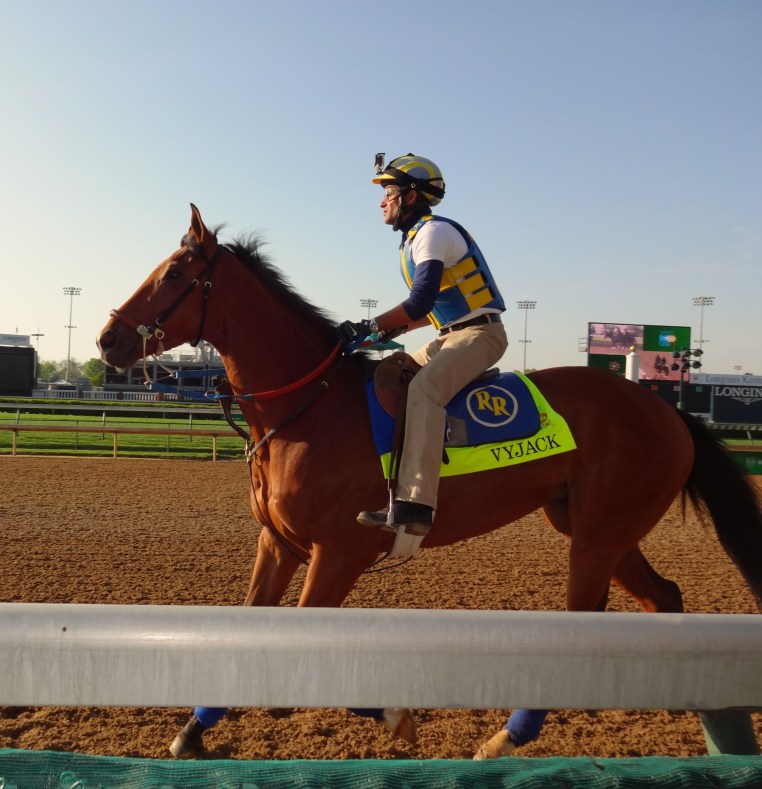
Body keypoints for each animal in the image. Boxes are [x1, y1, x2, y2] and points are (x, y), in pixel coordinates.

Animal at [97, 204, 762, 759]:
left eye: (175, 273)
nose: (109, 339)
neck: (310, 409)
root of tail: (667, 408)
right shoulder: (279, 543)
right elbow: (249, 624)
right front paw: (191, 731)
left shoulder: (339, 552)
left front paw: (398, 717)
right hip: (598, 529)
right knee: (663, 597)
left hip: (599, 537)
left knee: (588, 618)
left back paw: (504, 737)